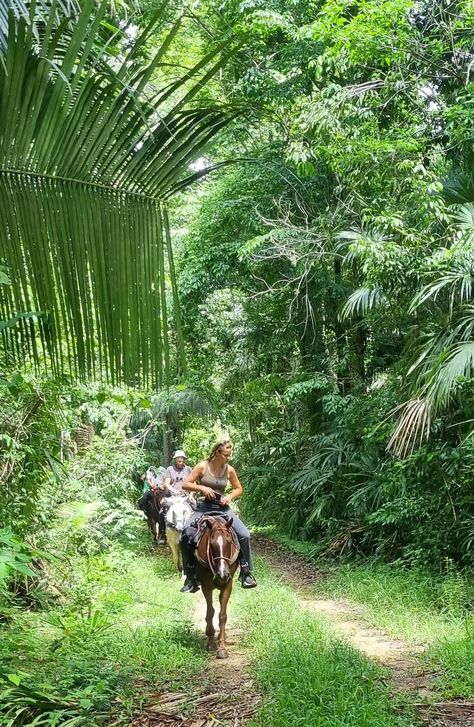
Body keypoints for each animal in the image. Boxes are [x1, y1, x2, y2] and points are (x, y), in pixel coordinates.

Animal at [193, 516, 239, 660]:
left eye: (229, 542)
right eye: (212, 544)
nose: (222, 574)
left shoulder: (228, 584)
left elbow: (222, 615)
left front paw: (222, 648)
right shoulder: (206, 586)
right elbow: (210, 612)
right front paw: (211, 641)